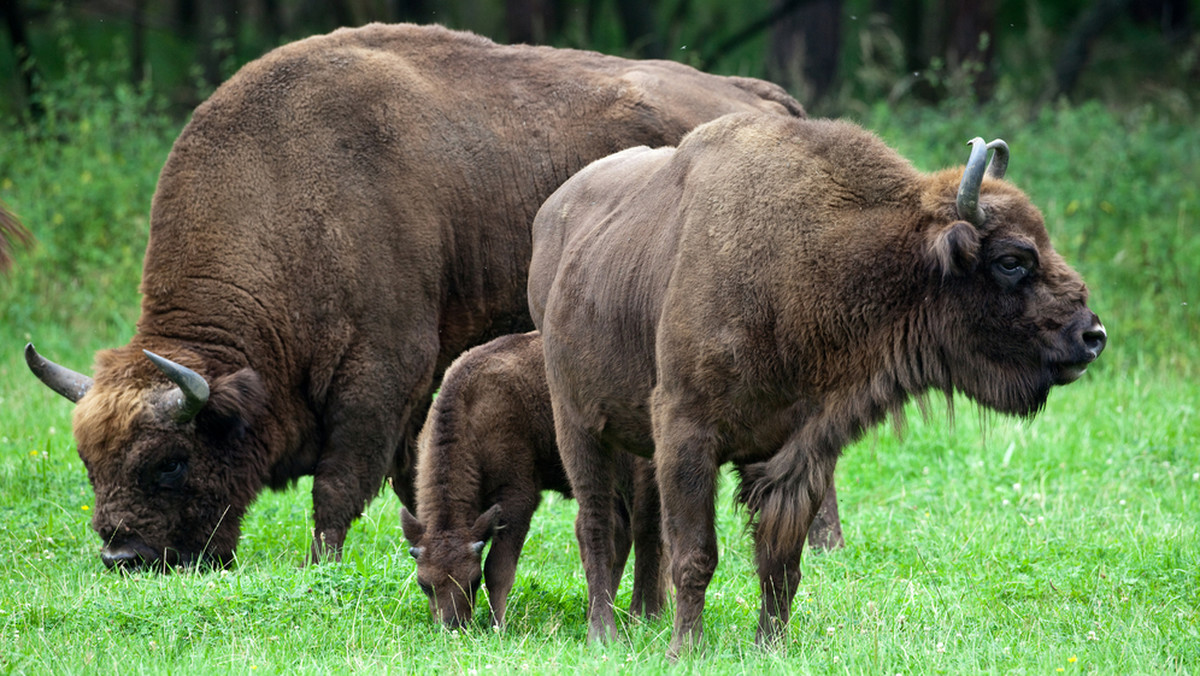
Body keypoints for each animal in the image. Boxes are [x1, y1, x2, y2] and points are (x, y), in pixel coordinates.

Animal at [21, 22, 806, 571]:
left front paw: (321, 569)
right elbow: (409, 475)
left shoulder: (382, 374)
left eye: (171, 462)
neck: (288, 191)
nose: (123, 556)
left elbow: (339, 486)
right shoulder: (417, 392)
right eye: (90, 463)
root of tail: (763, 99)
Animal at [398, 331, 662, 629]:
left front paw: (497, 625)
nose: (454, 625)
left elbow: (498, 566)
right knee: (619, 533)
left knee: (646, 530)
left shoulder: (518, 495)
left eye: (473, 580)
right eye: (424, 584)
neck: (470, 408)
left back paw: (645, 615)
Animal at [530, 113, 1108, 653]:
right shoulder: (686, 433)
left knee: (640, 523)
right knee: (596, 525)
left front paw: (770, 646)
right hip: (576, 423)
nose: (1092, 335)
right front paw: (684, 651)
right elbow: (697, 554)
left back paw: (639, 621)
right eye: (1012, 260)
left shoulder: (800, 451)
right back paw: (603, 633)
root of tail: (551, 216)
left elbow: (780, 562)